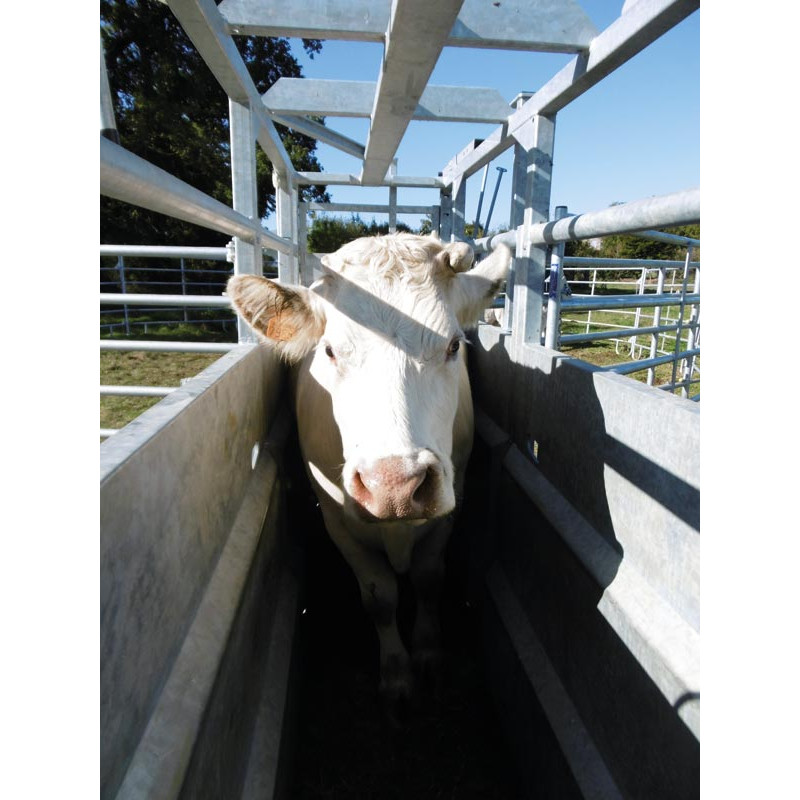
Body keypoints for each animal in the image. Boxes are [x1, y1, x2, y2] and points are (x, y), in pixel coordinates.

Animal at [227, 233, 511, 717]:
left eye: (454, 346)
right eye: (329, 350)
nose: (394, 487)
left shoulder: (449, 506)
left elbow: (428, 579)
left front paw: (428, 655)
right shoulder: (337, 519)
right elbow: (380, 596)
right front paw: (397, 676)